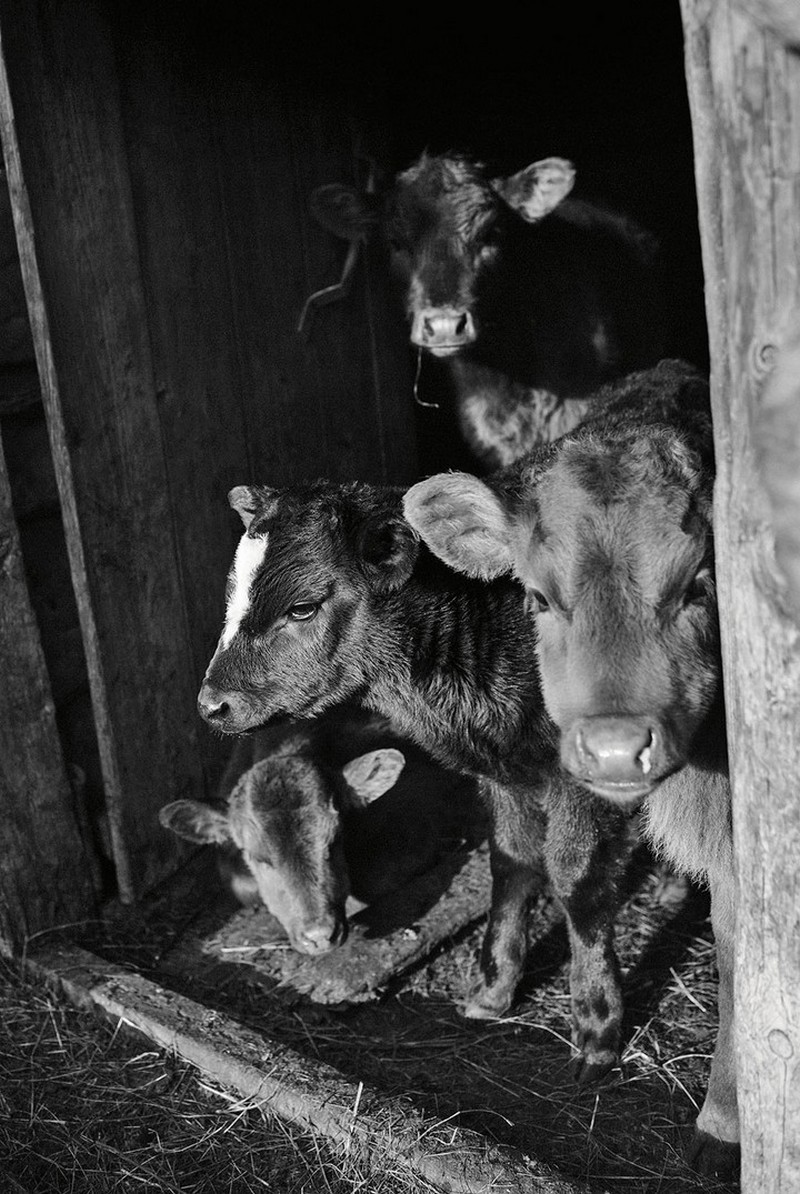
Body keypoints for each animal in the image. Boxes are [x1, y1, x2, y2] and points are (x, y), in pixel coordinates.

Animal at [197, 472, 644, 1084]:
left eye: (303, 607)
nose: (211, 704)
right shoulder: (507, 777)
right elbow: (511, 861)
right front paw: (491, 990)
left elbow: (578, 881)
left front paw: (597, 1034)